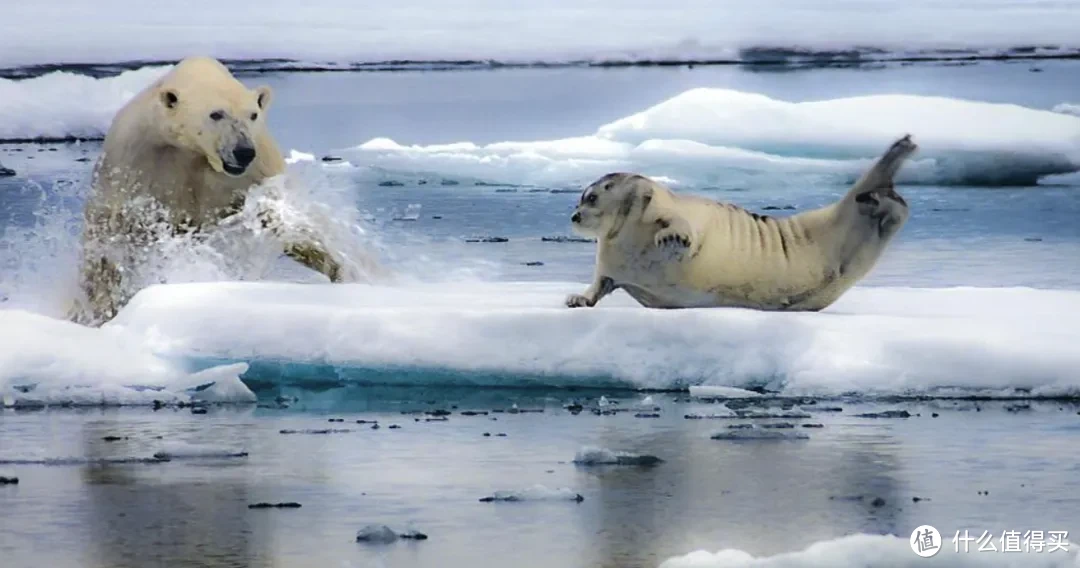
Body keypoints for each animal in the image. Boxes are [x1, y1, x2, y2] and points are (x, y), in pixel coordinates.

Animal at [70, 56, 375, 330]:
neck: (192, 152)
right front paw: (103, 308)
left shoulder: (256, 169)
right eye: (216, 113)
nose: (243, 151)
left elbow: (288, 220)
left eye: (252, 114)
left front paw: (345, 272)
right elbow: (112, 236)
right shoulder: (134, 162)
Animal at [565, 134, 920, 310]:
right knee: (894, 208)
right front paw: (577, 299)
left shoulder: (672, 205)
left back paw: (901, 147)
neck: (624, 237)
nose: (574, 215)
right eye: (579, 199)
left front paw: (672, 239)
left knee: (876, 195)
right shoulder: (609, 266)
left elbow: (681, 222)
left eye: (591, 197)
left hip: (843, 214)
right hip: (863, 237)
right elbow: (598, 286)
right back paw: (888, 182)